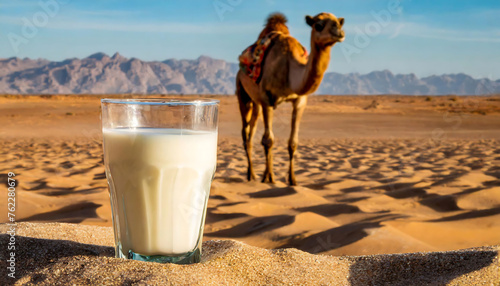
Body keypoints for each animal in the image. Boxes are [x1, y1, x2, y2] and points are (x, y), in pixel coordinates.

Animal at [234, 11, 344, 185]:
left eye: (339, 23)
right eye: (318, 25)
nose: (339, 32)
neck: (289, 70)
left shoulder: (300, 101)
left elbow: (293, 143)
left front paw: (292, 180)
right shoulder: (267, 98)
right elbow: (268, 140)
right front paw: (269, 178)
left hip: (256, 102)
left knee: (252, 132)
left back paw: (255, 174)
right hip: (242, 92)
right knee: (245, 134)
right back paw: (251, 175)